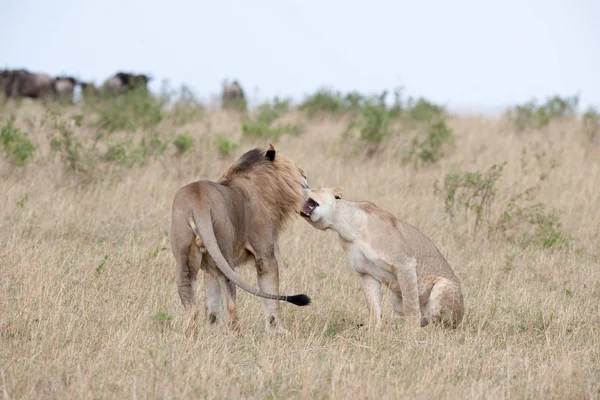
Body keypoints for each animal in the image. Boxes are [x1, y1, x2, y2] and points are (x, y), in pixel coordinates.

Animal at [169, 145, 310, 332]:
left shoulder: (209, 267)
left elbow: (213, 301)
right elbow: (271, 294)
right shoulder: (265, 256)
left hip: (185, 256)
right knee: (231, 305)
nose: (307, 183)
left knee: (193, 307)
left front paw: (213, 330)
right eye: (303, 175)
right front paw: (277, 331)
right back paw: (236, 332)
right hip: (224, 250)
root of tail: (198, 202)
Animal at [300, 188, 464, 328]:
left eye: (312, 188)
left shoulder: (405, 264)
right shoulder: (366, 272)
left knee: (440, 326)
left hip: (443, 287)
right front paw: (373, 331)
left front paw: (410, 334)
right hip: (395, 300)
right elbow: (373, 306)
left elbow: (411, 305)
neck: (346, 227)